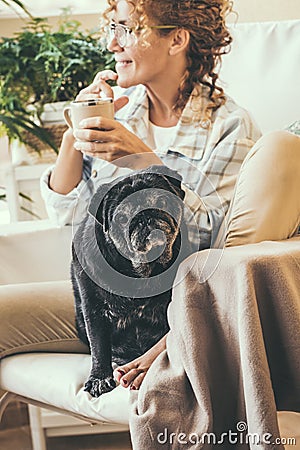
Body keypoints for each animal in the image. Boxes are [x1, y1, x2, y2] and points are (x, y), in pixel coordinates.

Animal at [71, 165, 191, 398]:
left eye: (162, 201)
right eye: (121, 218)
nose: (145, 216)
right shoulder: (93, 309)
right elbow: (98, 345)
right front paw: (99, 378)